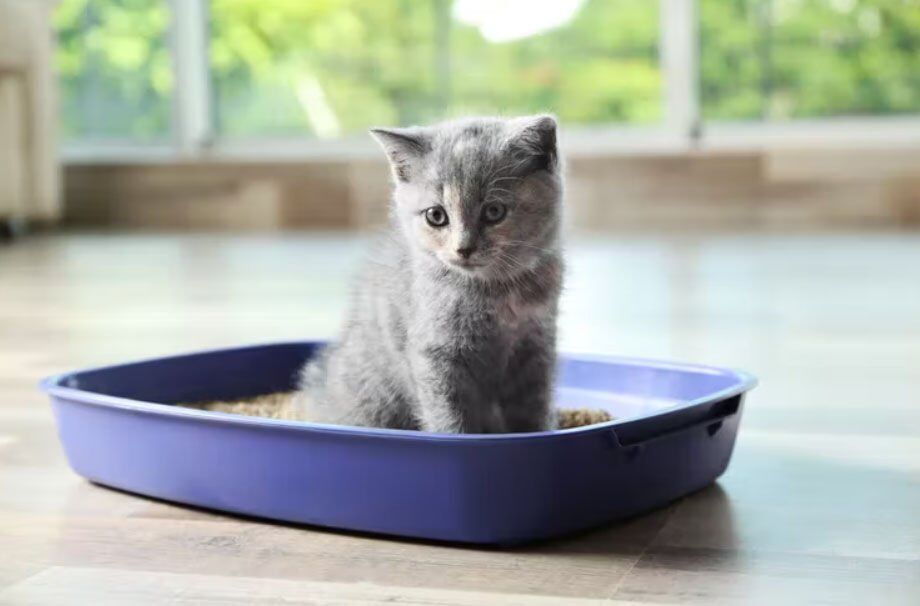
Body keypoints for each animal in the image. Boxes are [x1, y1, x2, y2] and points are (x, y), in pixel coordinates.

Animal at [298, 114, 564, 434]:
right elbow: (450, 416)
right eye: (436, 216)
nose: (464, 248)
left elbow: (534, 410)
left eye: (494, 211)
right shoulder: (435, 355)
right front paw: (458, 437)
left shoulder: (535, 348)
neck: (495, 292)